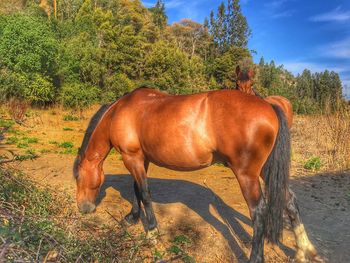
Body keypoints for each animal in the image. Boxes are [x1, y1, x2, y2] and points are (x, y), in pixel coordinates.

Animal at [74, 88, 320, 262]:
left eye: (77, 177)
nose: (84, 208)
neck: (121, 111)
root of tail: (268, 104)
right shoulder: (140, 159)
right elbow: (136, 189)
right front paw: (132, 218)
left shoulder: (132, 157)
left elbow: (144, 192)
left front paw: (152, 232)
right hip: (266, 170)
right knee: (289, 201)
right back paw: (304, 250)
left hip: (247, 175)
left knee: (258, 211)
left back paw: (257, 258)